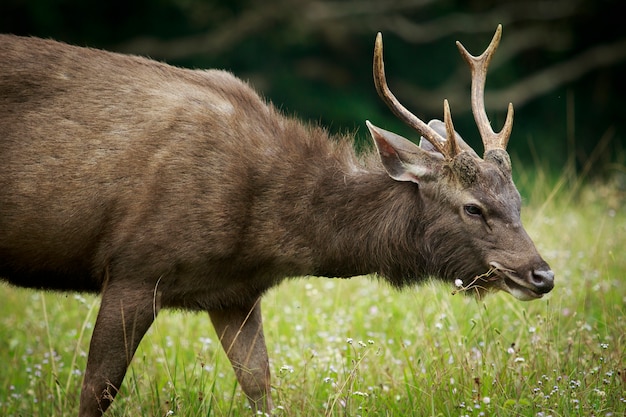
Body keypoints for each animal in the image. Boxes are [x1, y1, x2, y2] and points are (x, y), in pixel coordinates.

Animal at [0, 26, 548, 416]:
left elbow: (259, 384)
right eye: (472, 207)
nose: (543, 274)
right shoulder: (133, 266)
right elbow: (96, 390)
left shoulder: (233, 293)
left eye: (518, 200)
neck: (265, 229)